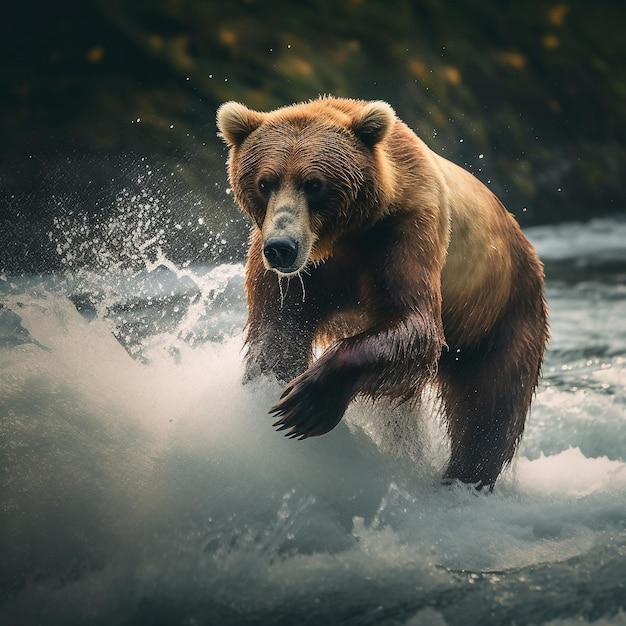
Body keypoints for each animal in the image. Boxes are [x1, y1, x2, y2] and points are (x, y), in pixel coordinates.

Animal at [218, 96, 544, 488]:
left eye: (314, 184)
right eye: (265, 182)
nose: (281, 247)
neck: (341, 236)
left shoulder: (407, 231)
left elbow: (416, 325)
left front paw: (307, 402)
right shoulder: (295, 274)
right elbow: (278, 335)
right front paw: (277, 394)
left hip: (501, 315)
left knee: (488, 412)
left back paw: (462, 480)